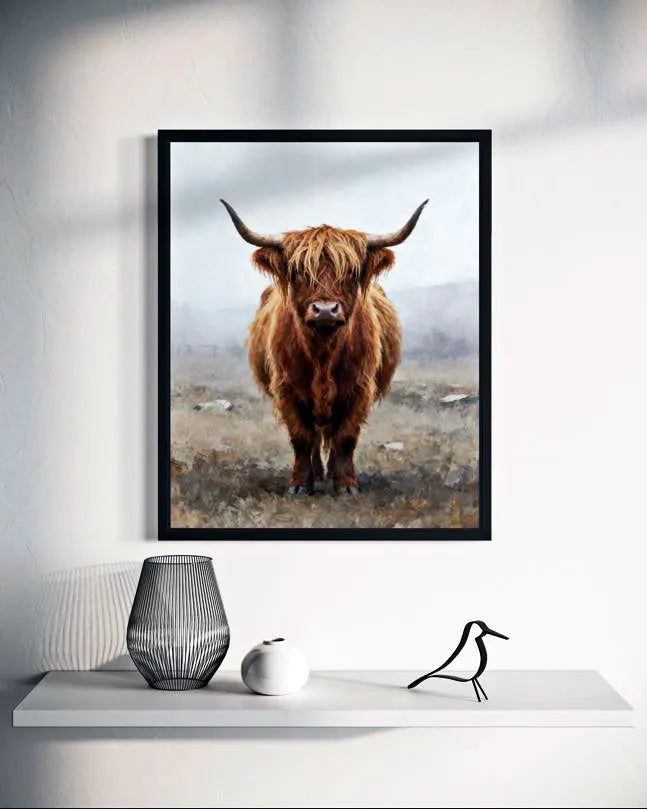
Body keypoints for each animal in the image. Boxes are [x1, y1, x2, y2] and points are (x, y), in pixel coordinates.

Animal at [221, 198, 428, 495]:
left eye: (351, 272)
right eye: (298, 272)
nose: (326, 310)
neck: (322, 354)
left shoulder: (359, 388)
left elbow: (345, 437)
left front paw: (346, 484)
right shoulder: (287, 389)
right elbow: (301, 438)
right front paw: (299, 484)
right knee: (317, 436)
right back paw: (318, 475)